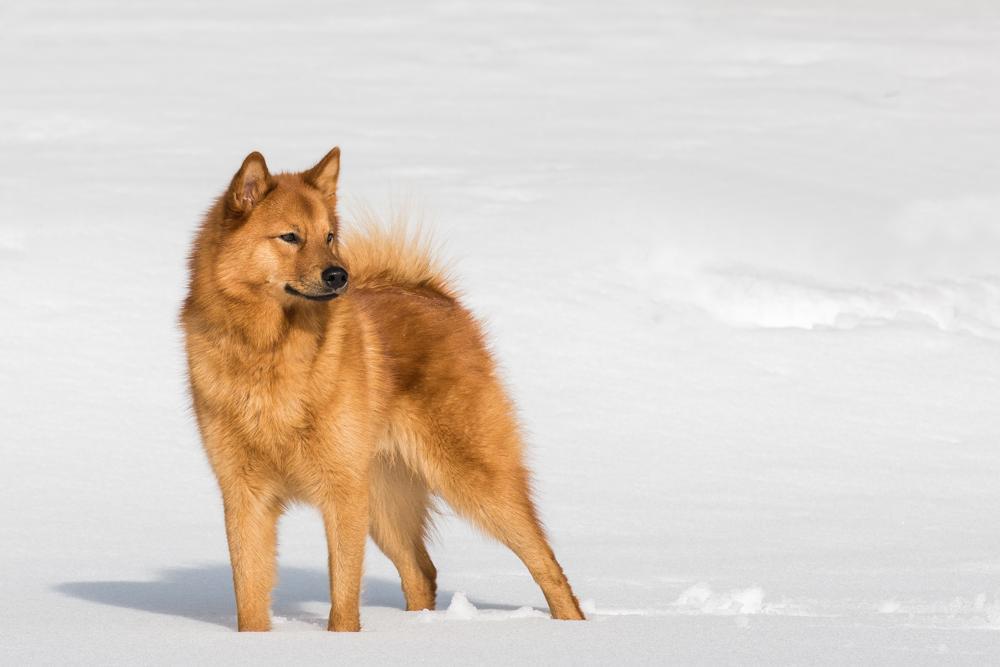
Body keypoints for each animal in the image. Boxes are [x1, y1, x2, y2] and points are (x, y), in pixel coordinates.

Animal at [184, 147, 584, 632]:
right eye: (290, 237)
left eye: (330, 236)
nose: (339, 275)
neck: (269, 351)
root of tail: (434, 294)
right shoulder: (245, 497)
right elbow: (250, 599)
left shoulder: (341, 495)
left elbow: (343, 597)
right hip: (383, 502)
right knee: (421, 571)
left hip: (472, 481)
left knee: (546, 562)